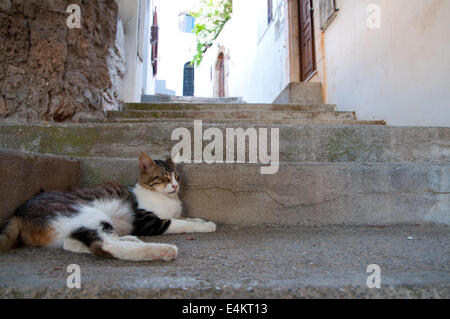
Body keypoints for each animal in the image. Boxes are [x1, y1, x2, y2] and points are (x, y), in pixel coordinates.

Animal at [0, 154, 216, 262]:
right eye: (163, 178)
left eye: (177, 176)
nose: (175, 186)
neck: (167, 200)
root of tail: (19, 211)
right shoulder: (148, 222)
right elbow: (180, 223)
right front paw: (205, 226)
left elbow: (185, 218)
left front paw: (200, 220)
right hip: (87, 212)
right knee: (102, 245)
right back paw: (162, 251)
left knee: (74, 243)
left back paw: (130, 239)